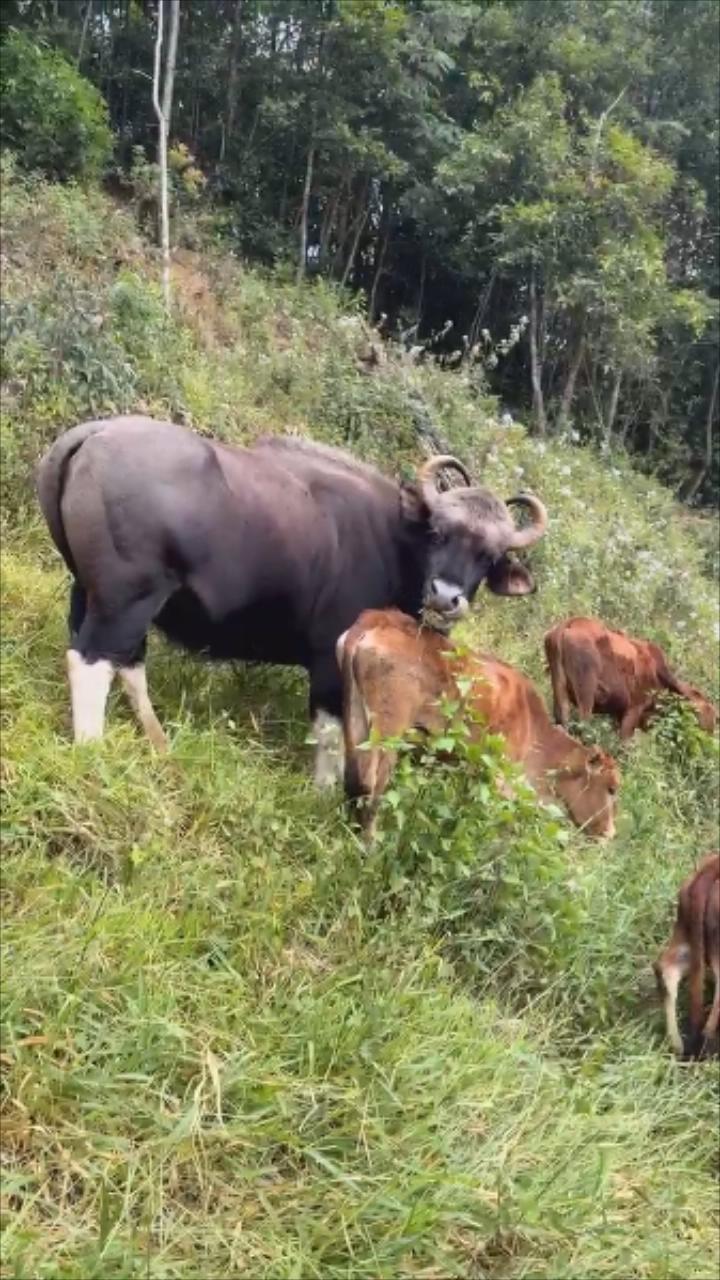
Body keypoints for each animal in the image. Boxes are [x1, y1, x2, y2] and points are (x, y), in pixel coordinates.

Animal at [35, 417, 543, 778]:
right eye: (438, 533)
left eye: (488, 556)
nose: (446, 596)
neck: (395, 539)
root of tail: (95, 432)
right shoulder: (331, 658)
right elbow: (334, 734)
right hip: (125, 599)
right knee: (94, 659)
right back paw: (93, 750)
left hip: (89, 591)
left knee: (122, 660)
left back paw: (159, 744)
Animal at [335, 606, 617, 839]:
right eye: (612, 788)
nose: (610, 833)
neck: (534, 726)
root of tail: (377, 619)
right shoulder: (502, 776)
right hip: (388, 733)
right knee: (371, 784)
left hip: (355, 721)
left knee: (352, 779)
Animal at [540, 611, 712, 737]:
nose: (711, 729)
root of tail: (566, 625)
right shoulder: (634, 709)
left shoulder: (618, 715)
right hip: (585, 690)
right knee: (582, 726)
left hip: (559, 687)